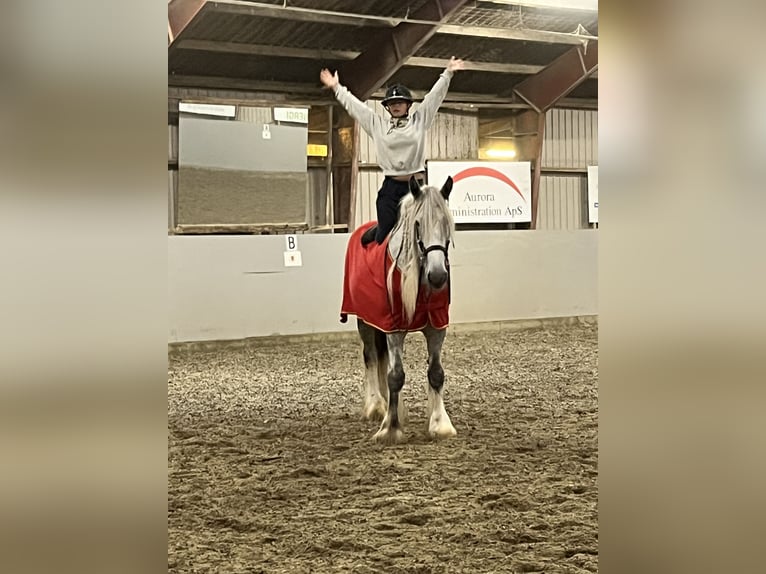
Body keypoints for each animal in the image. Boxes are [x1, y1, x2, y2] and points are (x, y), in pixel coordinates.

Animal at [340, 176, 456, 446]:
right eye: (417, 224)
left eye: (447, 223)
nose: (437, 276)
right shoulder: (394, 328)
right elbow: (396, 376)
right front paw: (390, 429)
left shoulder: (436, 327)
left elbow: (436, 373)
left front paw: (440, 423)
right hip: (365, 321)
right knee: (371, 356)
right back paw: (376, 406)